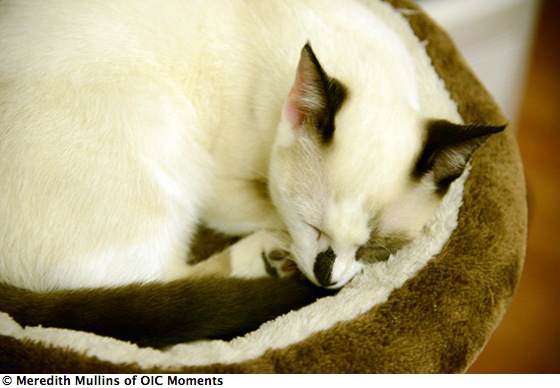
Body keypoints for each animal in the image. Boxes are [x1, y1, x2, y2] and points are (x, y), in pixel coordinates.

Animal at [0, 0, 504, 346]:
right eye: (311, 224)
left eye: (376, 248)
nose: (327, 276)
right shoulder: (222, 189)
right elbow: (267, 212)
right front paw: (282, 251)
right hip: (167, 140)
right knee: (155, 281)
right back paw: (259, 259)